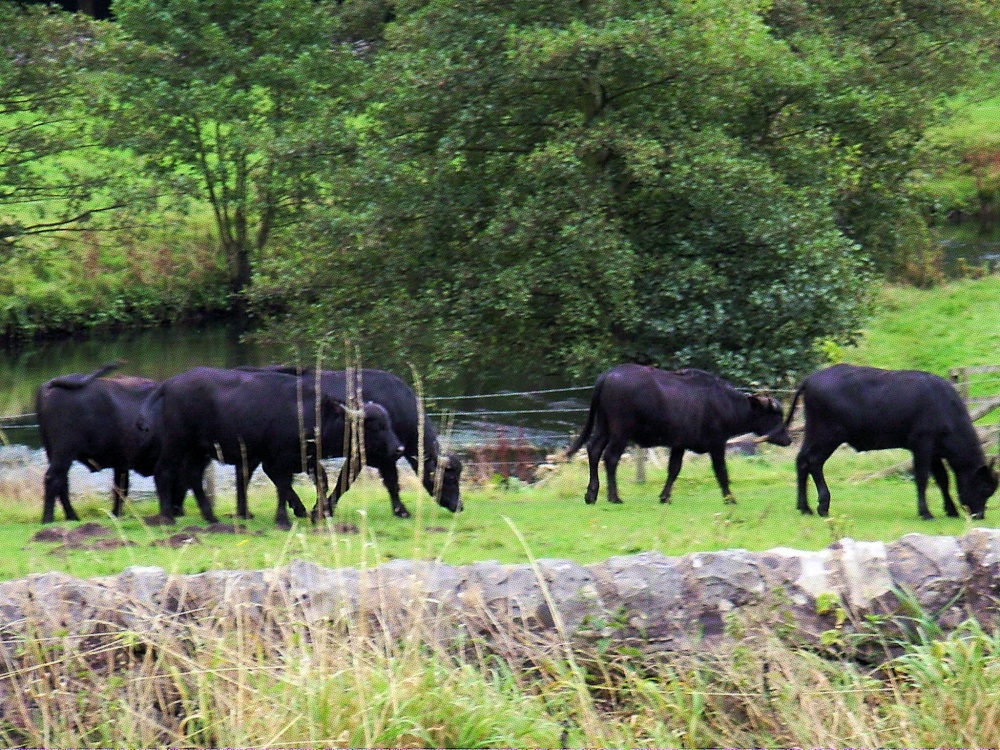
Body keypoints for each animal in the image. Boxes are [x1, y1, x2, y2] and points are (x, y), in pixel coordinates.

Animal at [567, 364, 791, 505]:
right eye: (776, 416)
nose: (787, 439)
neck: (723, 404)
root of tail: (608, 375)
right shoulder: (717, 444)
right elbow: (722, 472)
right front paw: (730, 499)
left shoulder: (679, 444)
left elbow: (673, 470)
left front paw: (664, 497)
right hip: (620, 432)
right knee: (610, 457)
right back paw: (614, 497)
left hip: (603, 427)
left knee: (594, 450)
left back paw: (591, 494)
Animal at [784, 363, 999, 519]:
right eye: (985, 488)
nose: (979, 515)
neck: (943, 405)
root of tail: (811, 378)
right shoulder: (922, 445)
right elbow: (923, 478)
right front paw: (926, 512)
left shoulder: (935, 451)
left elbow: (942, 479)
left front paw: (951, 510)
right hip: (827, 435)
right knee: (813, 462)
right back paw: (822, 505)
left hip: (813, 434)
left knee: (802, 461)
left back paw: (804, 507)